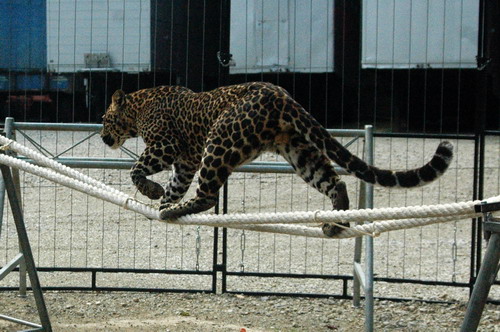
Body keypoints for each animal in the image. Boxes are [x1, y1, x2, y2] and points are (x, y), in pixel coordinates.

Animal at [101, 81, 454, 236]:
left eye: (104, 120)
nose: (103, 138)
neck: (138, 108)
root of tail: (282, 95)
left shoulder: (165, 146)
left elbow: (137, 169)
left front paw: (155, 194)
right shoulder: (185, 161)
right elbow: (176, 183)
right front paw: (163, 200)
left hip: (221, 139)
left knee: (208, 196)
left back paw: (179, 210)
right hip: (300, 151)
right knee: (335, 182)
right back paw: (336, 222)